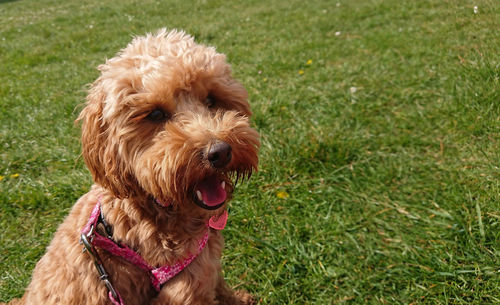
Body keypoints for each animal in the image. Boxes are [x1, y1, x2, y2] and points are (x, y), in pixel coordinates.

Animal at [3, 28, 260, 304]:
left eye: (211, 100)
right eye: (155, 114)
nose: (219, 152)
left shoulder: (205, 267)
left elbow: (221, 286)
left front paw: (240, 298)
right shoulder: (186, 289)